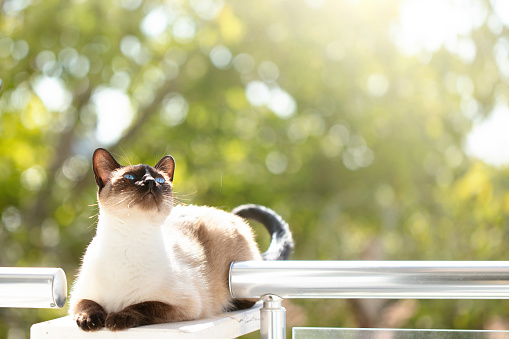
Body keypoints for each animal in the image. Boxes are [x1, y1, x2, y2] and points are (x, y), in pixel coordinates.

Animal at [70, 149, 294, 332]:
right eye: (131, 177)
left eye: (160, 180)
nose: (150, 182)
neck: (130, 241)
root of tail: (227, 214)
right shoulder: (79, 295)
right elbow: (87, 305)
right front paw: (89, 321)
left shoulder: (184, 305)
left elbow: (142, 306)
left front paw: (116, 319)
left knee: (248, 299)